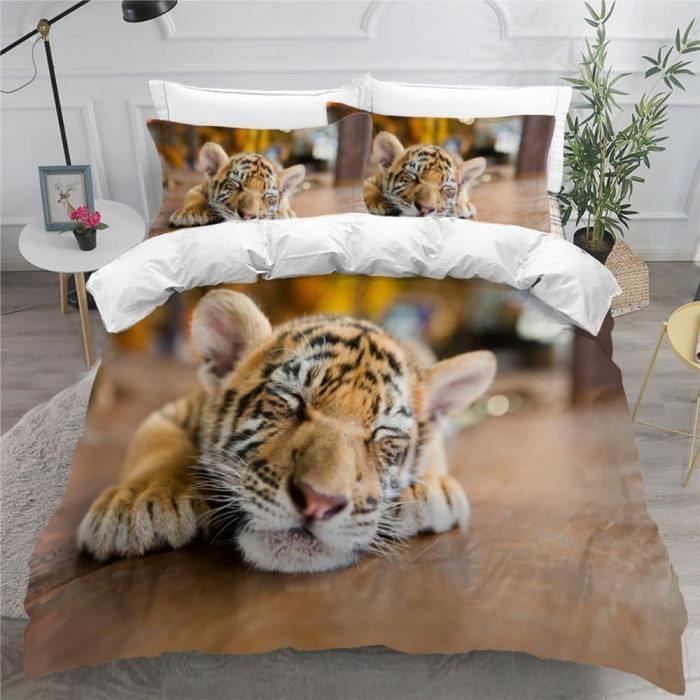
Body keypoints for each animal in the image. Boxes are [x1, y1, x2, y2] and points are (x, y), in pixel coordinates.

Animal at [78, 289, 496, 573]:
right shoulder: (170, 413)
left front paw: (429, 488)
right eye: (293, 400)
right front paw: (138, 505)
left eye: (382, 434)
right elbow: (158, 446)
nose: (318, 502)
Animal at [169, 142, 306, 227]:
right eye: (236, 185)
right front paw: (191, 213)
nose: (248, 216)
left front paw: (284, 213)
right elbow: (194, 197)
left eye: (267, 196)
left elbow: (284, 202)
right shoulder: (198, 187)